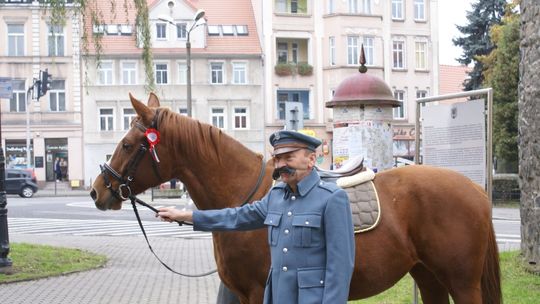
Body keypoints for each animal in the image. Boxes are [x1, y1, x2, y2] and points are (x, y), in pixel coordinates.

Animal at [89, 94, 502, 302]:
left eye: (128, 144)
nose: (97, 190)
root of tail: (475, 190)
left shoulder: (258, 292)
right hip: (428, 277)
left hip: (461, 282)